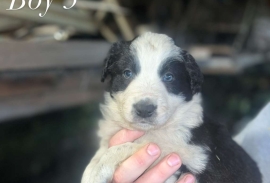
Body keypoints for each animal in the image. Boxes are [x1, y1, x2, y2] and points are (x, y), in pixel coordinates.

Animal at [80, 33, 262, 183]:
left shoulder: (195, 159)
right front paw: (92, 167)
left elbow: (136, 145)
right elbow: (103, 150)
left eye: (169, 77)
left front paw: (97, 171)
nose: (144, 109)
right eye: (127, 73)